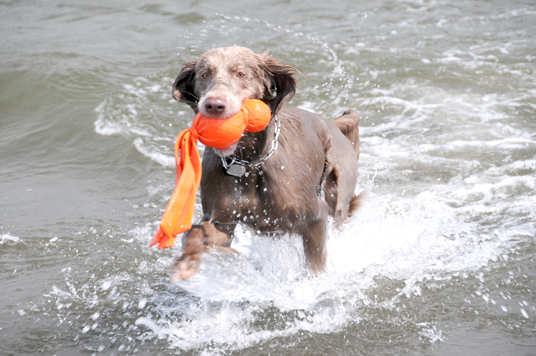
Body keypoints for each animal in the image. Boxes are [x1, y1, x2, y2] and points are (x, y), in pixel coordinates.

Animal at [170, 47, 362, 280]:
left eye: (241, 74)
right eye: (205, 74)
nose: (214, 105)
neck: (248, 164)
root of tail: (332, 124)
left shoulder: (315, 216)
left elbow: (315, 266)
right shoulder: (224, 220)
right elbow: (195, 232)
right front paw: (186, 263)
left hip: (338, 194)